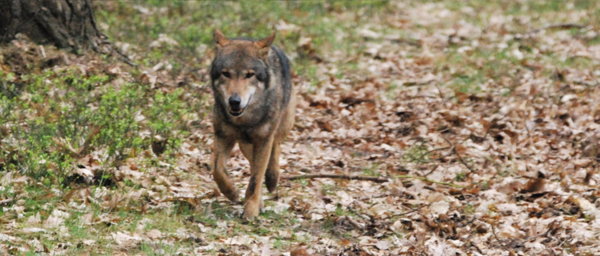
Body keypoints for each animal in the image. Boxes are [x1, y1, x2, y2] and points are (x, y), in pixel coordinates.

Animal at [210, 29, 296, 218]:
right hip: (245, 144)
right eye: (226, 73)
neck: (245, 120)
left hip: (282, 126)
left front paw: (250, 210)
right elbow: (217, 169)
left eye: (249, 74)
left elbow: (256, 178)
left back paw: (272, 179)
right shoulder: (223, 136)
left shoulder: (264, 139)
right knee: (253, 163)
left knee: (275, 149)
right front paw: (232, 192)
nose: (234, 101)